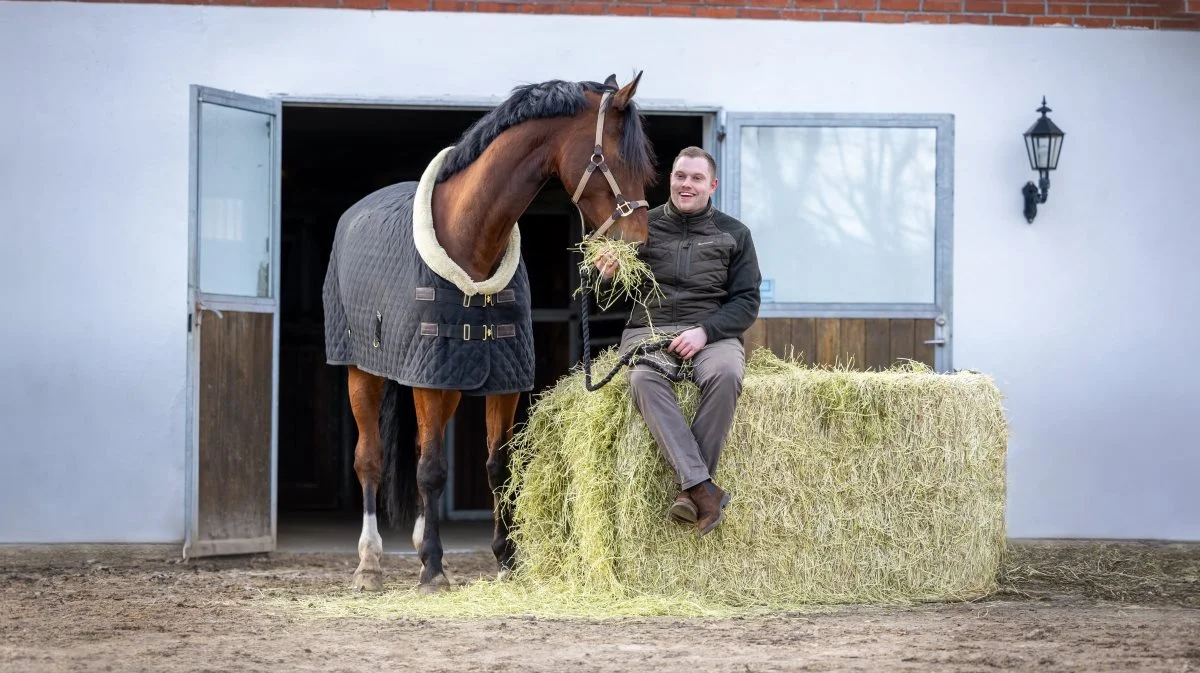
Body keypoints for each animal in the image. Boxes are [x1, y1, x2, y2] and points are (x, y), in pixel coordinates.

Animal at [324, 70, 652, 590]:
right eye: (615, 158)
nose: (635, 245)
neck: (472, 239)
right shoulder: (427, 378)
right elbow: (431, 470)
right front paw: (433, 569)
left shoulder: (499, 379)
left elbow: (498, 465)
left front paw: (507, 559)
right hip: (364, 372)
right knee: (370, 458)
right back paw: (370, 563)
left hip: (451, 382)